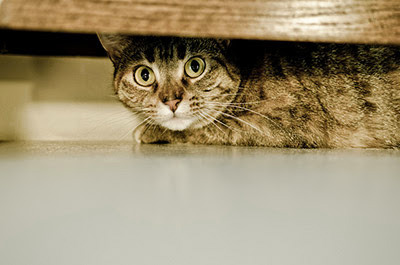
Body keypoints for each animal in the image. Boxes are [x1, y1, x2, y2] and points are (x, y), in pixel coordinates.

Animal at [97, 33, 400, 146]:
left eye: (195, 66)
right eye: (144, 75)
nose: (171, 101)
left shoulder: (280, 123)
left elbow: (210, 130)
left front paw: (150, 131)